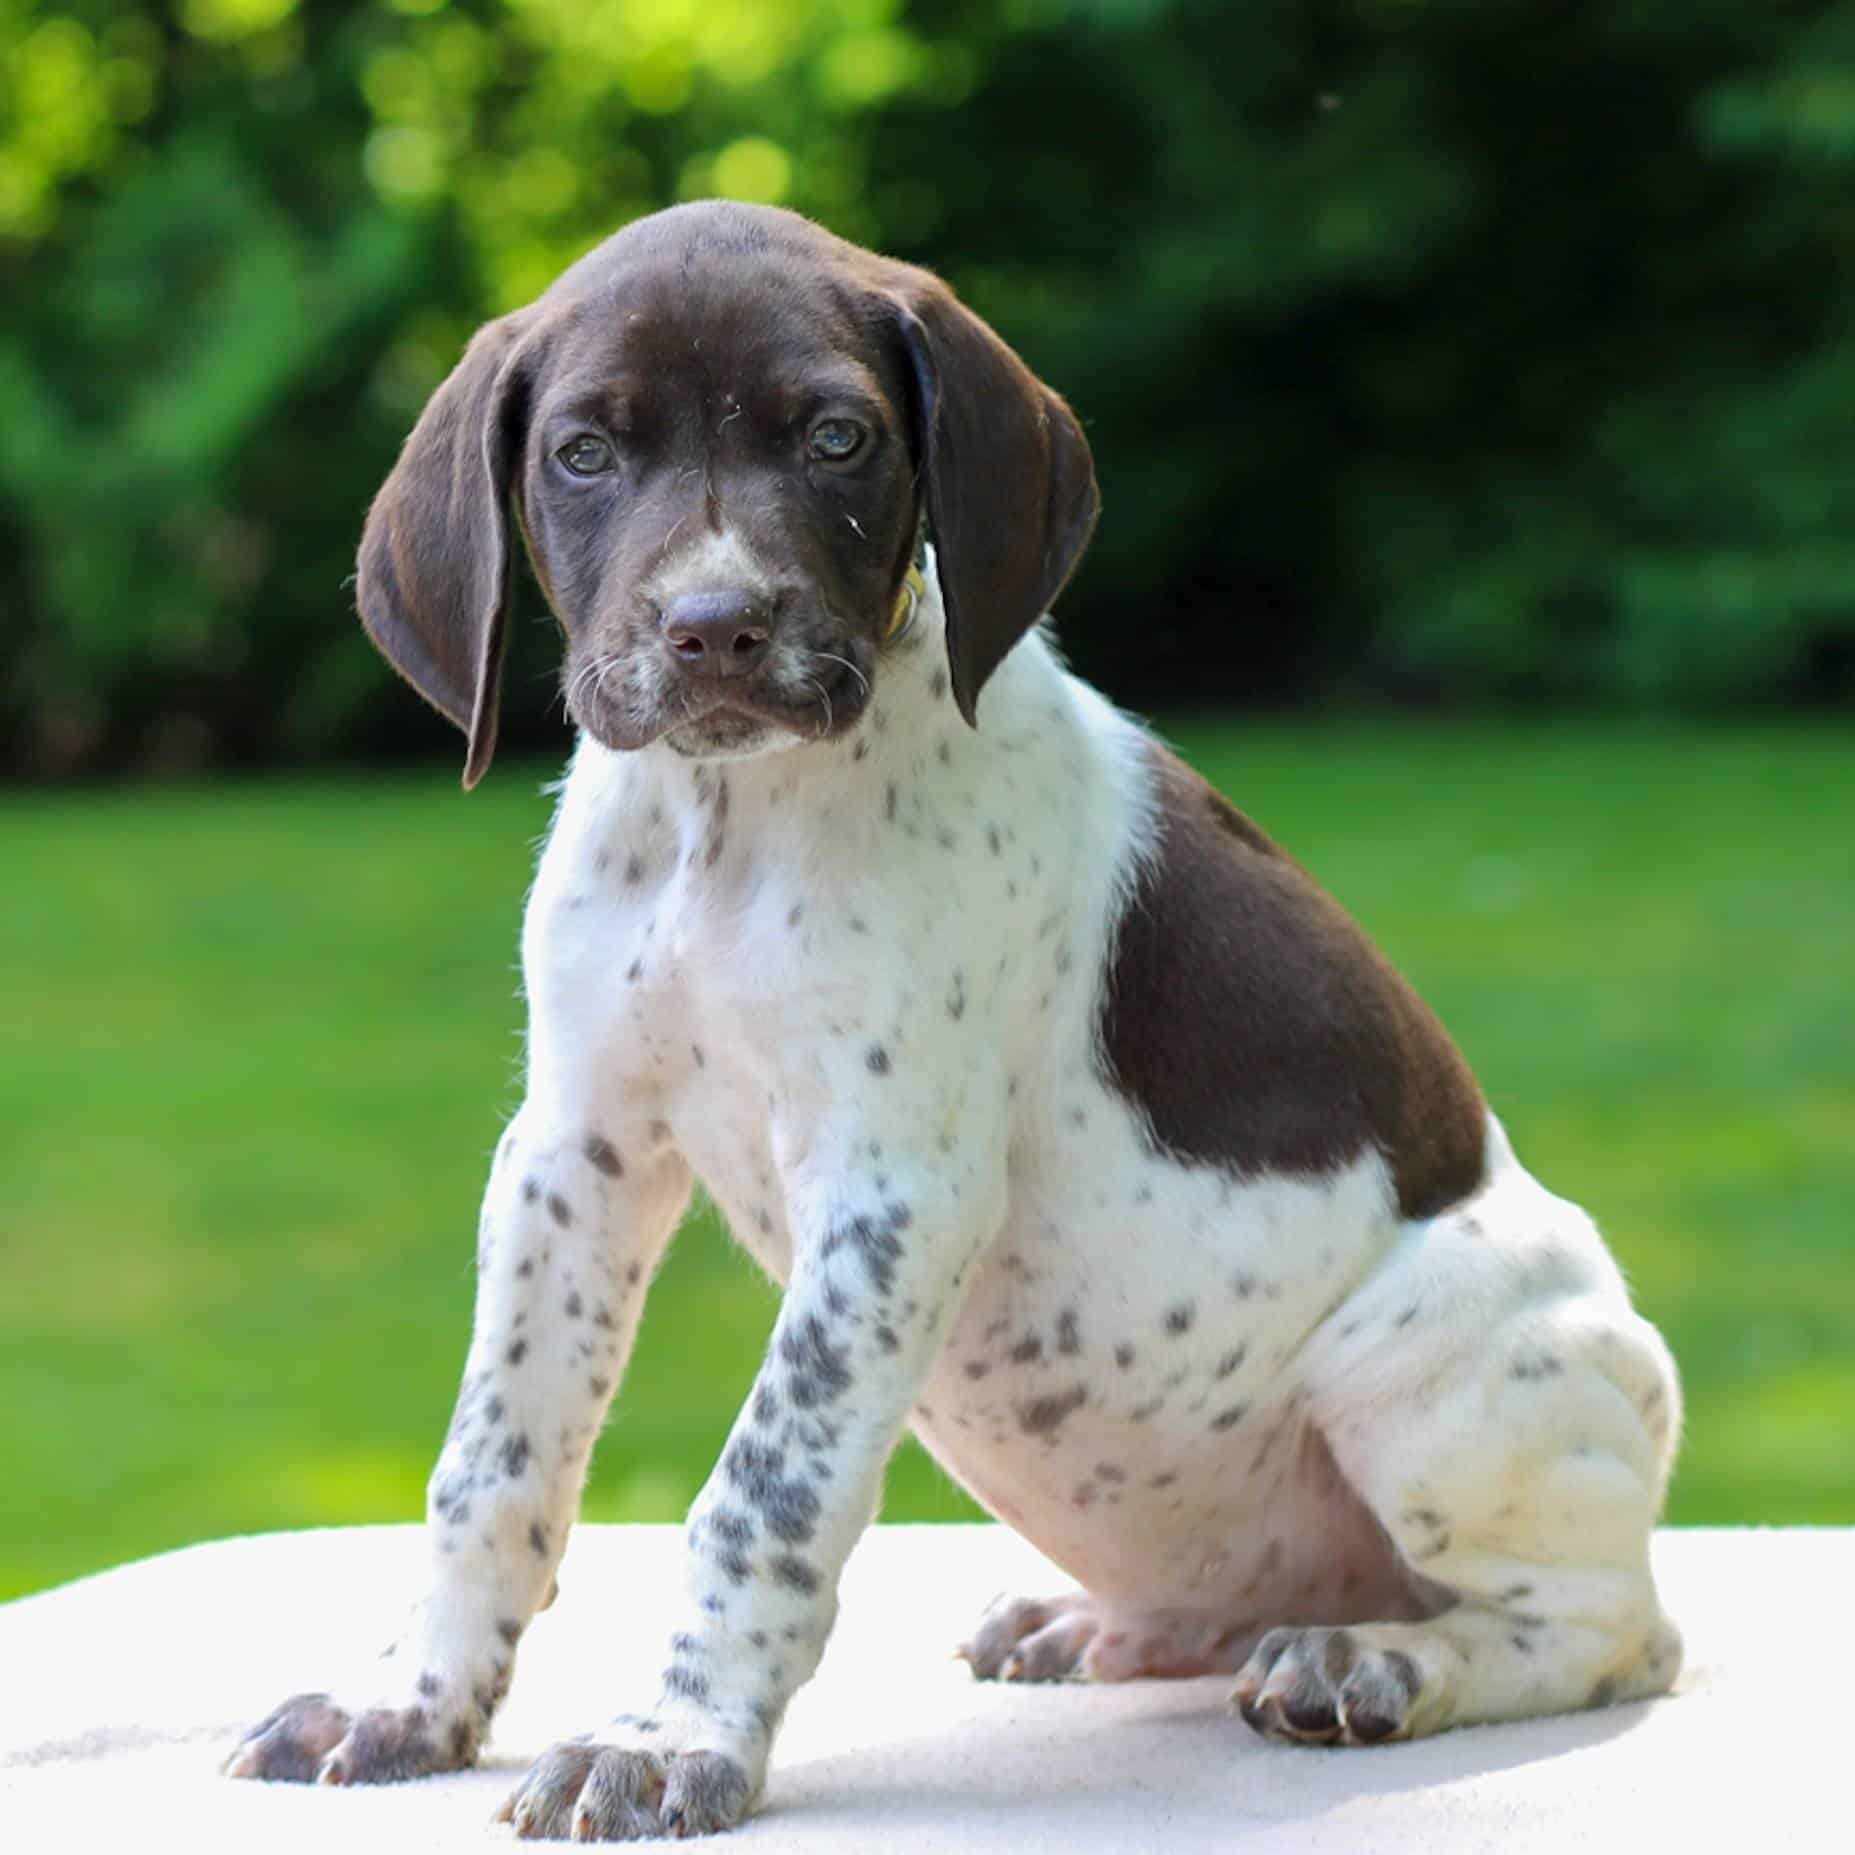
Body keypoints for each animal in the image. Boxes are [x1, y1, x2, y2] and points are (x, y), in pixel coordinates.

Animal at [224, 206, 1691, 1840]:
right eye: (584, 452)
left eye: (837, 437)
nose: (714, 629)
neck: (729, 824)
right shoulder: (571, 1155)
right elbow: (493, 1459)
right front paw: (412, 1698)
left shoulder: (889, 1194)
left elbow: (762, 1486)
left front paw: (670, 1737)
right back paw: (1101, 1624)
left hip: (1426, 1367)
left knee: (1603, 1630)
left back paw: (1376, 1661)